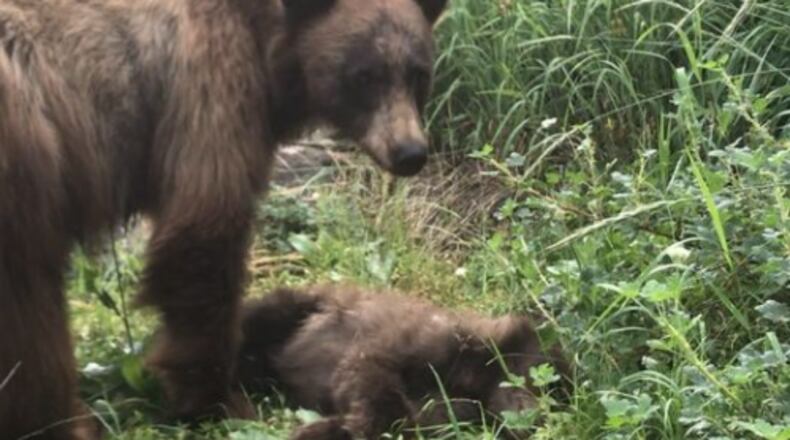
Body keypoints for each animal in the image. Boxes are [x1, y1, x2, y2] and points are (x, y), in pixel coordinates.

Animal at [0, 0, 447, 438]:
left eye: (418, 73)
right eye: (364, 75)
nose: (410, 152)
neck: (265, 41)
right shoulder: (209, 90)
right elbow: (203, 236)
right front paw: (216, 400)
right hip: (30, 164)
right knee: (30, 309)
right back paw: (63, 421)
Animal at [236, 285, 572, 440]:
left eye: (558, 402)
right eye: (543, 381)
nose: (537, 417)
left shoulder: (447, 413)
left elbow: (404, 422)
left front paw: (326, 429)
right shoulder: (406, 344)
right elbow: (370, 376)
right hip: (294, 307)